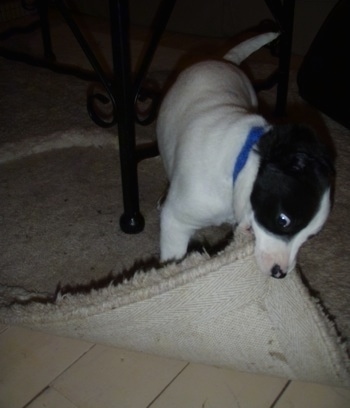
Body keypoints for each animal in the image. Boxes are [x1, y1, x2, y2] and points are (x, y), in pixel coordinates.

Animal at [157, 33, 334, 278]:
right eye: (283, 220)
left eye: (310, 235)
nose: (280, 273)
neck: (236, 165)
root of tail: (224, 60)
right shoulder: (176, 222)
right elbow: (173, 260)